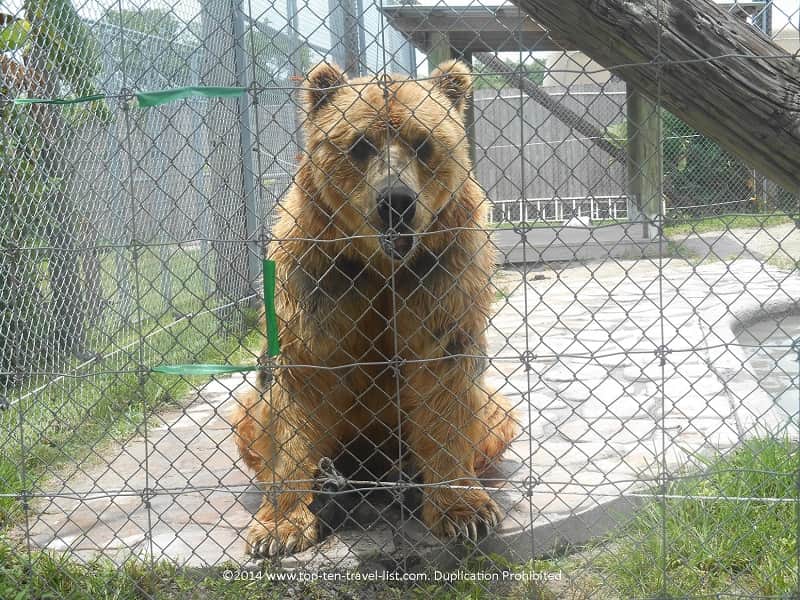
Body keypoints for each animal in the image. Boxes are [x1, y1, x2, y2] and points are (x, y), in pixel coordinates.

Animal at [231, 60, 519, 557]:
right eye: (361, 144)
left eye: (423, 142)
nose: (396, 202)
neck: (381, 265)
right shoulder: (320, 275)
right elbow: (296, 390)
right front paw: (279, 528)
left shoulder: (440, 271)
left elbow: (444, 380)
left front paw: (465, 513)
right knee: (253, 416)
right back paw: (330, 486)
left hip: (478, 413)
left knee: (495, 412)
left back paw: (406, 478)